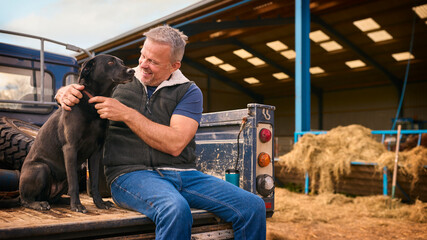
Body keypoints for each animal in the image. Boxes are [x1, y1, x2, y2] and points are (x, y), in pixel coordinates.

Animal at [19, 54, 134, 212]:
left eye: (122, 62)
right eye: (110, 62)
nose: (132, 71)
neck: (93, 103)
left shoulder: (96, 152)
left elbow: (94, 183)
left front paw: (100, 203)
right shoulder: (70, 148)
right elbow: (74, 183)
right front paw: (77, 206)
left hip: (77, 169)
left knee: (54, 199)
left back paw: (65, 201)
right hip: (41, 168)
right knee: (26, 200)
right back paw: (40, 204)